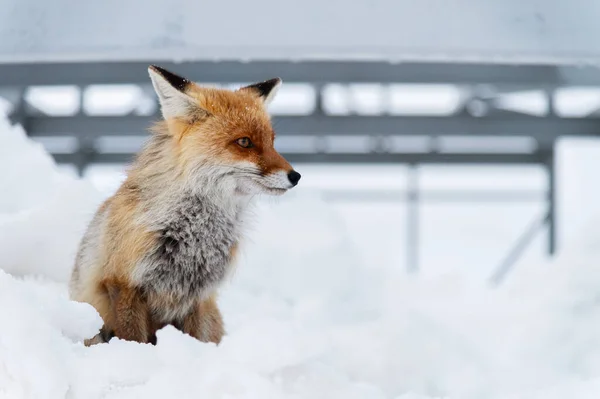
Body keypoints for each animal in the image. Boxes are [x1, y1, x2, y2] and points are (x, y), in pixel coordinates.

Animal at [69, 66, 300, 346]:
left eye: (272, 142)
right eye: (244, 142)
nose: (296, 176)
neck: (194, 233)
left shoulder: (198, 296)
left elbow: (196, 339)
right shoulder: (122, 283)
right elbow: (133, 337)